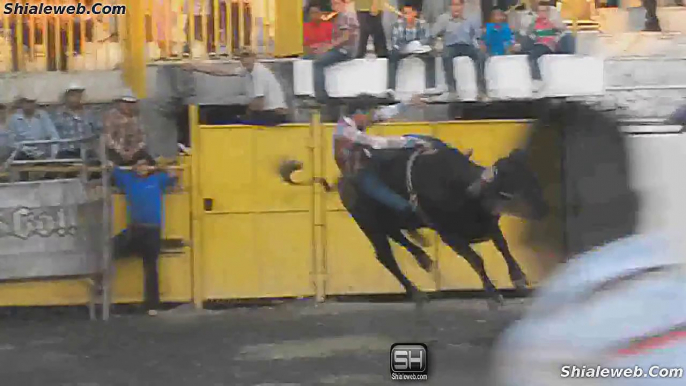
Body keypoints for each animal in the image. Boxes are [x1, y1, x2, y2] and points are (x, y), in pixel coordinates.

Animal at [276, 137, 552, 306]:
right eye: (510, 190)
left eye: (533, 179)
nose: (544, 209)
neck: (462, 189)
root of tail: (344, 179)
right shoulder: (449, 234)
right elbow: (477, 259)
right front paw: (494, 296)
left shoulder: (487, 224)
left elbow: (503, 246)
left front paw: (519, 279)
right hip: (370, 225)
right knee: (385, 256)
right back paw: (417, 293)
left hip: (390, 222)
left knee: (401, 239)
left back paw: (425, 261)